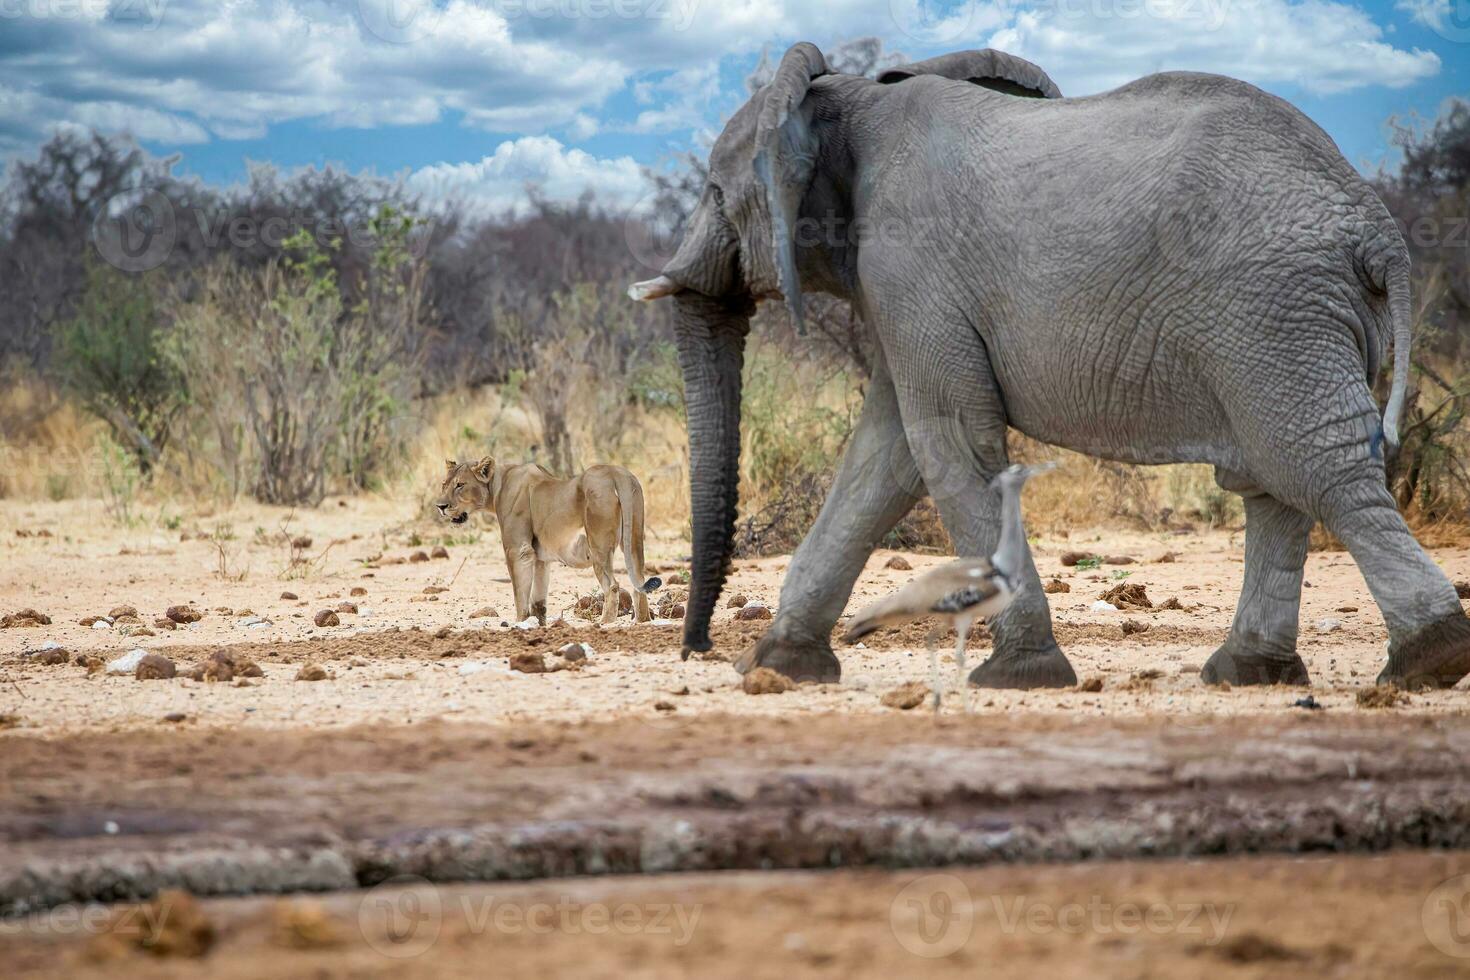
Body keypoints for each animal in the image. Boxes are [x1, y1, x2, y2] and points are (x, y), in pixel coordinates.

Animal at [629, 44, 1470, 690]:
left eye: (715, 193)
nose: (697, 649)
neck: (851, 98)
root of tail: (1374, 226)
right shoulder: (908, 294)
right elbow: (887, 458)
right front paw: (778, 668)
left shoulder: (910, 268)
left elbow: (949, 445)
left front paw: (1018, 676)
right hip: (1295, 321)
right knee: (1276, 481)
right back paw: (1248, 673)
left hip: (1272, 312)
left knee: (1316, 466)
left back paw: (1430, 660)